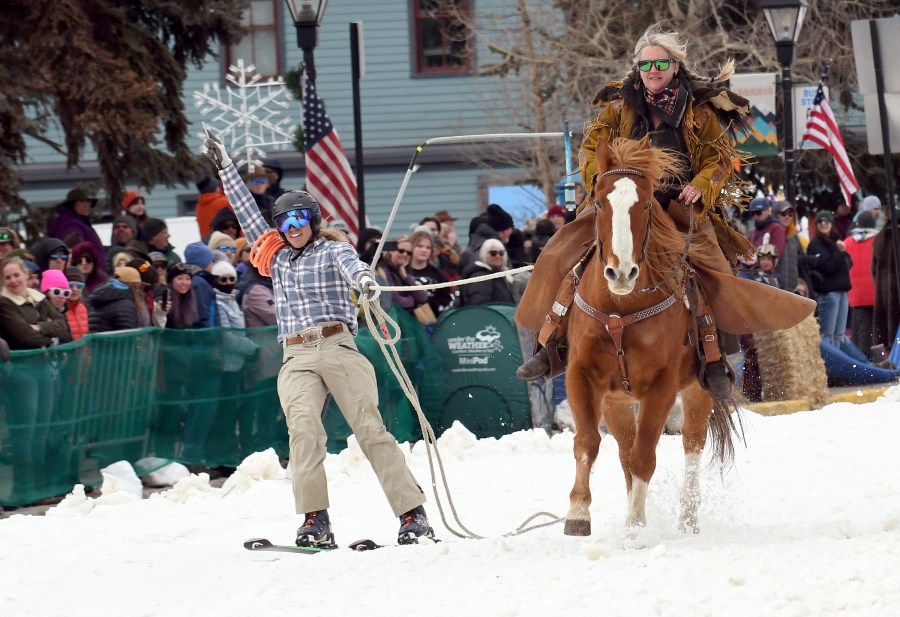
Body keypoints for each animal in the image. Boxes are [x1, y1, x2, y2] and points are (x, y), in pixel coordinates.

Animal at [564, 135, 740, 536]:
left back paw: (686, 518)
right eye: (600, 203)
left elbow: (645, 455)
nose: (621, 272)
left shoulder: (662, 385)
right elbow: (588, 442)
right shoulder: (581, 375)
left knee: (691, 442)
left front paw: (633, 530)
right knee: (624, 450)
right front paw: (578, 513)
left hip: (697, 390)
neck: (619, 311)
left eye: (644, 204)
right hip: (617, 401)